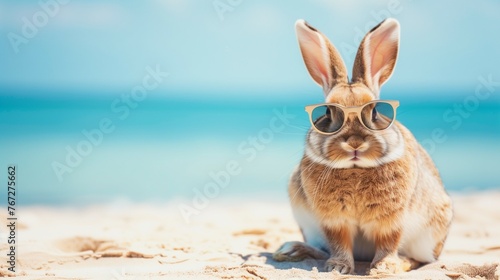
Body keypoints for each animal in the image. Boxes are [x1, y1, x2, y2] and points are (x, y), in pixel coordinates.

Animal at [274, 18, 454, 276]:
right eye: (328, 112)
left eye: (375, 111)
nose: (355, 143)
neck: (355, 168)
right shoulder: (334, 222)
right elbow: (339, 243)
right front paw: (338, 268)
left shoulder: (391, 220)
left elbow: (389, 242)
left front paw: (383, 268)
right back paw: (292, 250)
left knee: (418, 259)